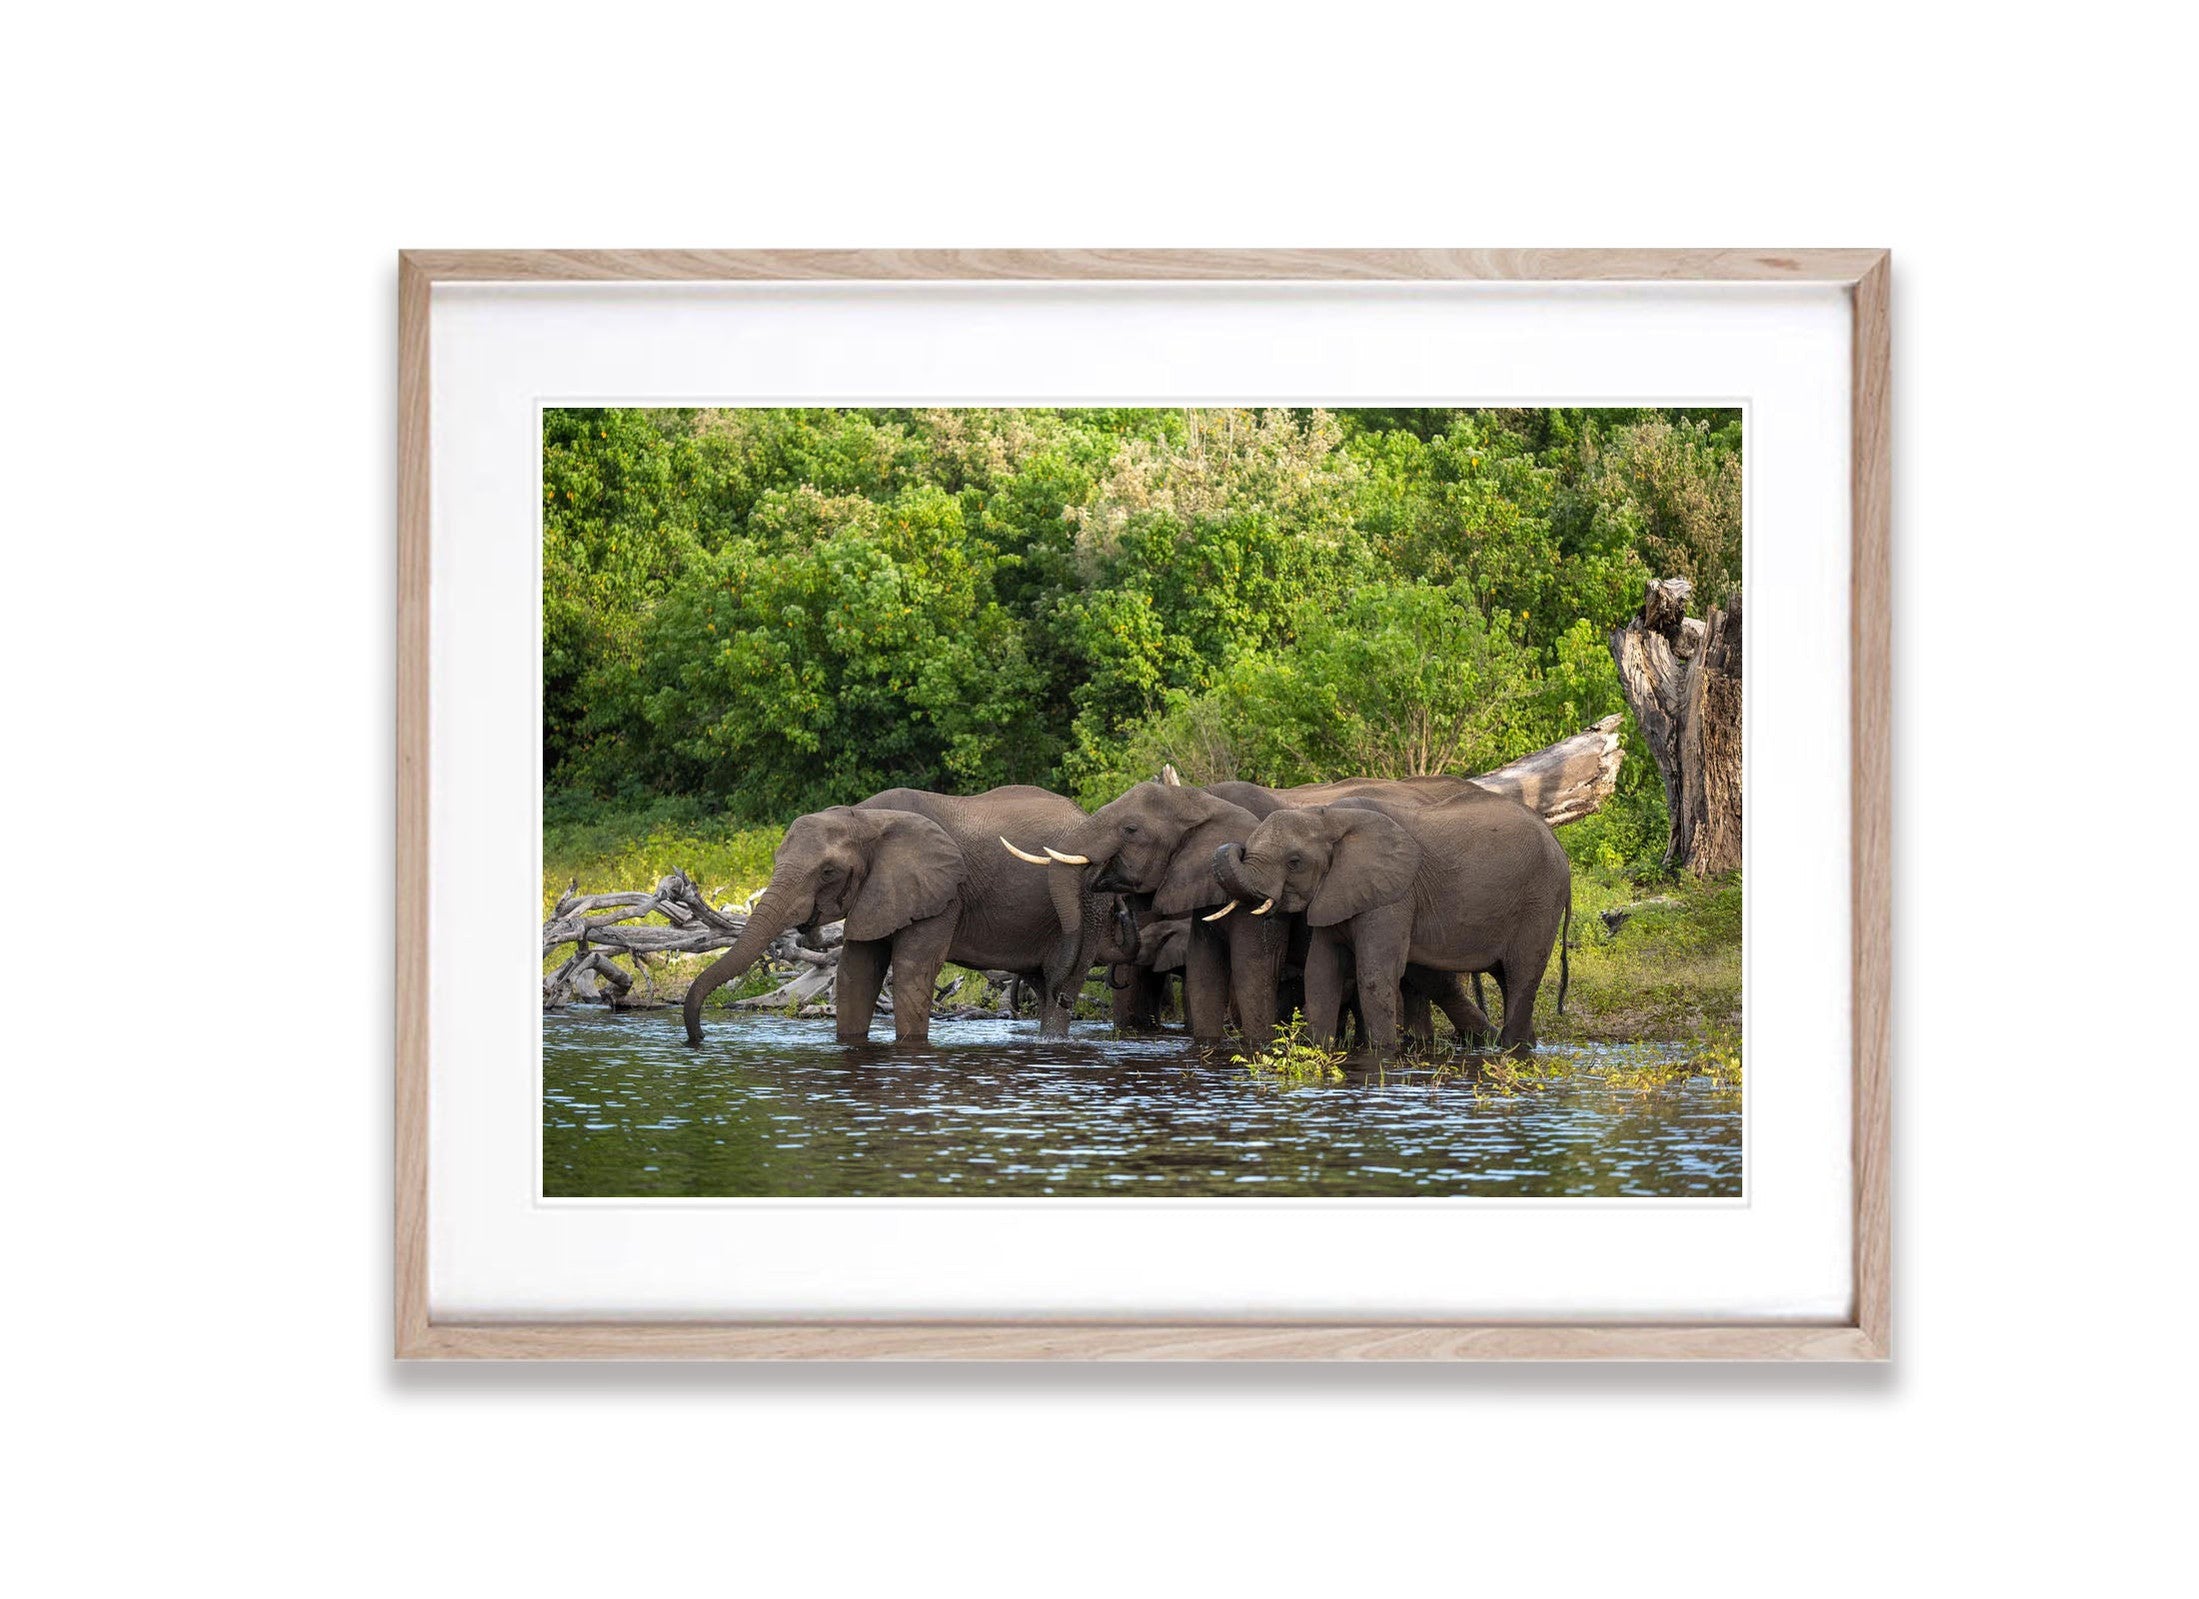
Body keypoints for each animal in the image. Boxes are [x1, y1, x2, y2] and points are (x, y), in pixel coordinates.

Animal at [686, 787, 1090, 1051]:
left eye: (828, 872)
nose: (700, 1037)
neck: (865, 819)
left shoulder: (943, 892)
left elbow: (912, 970)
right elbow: (856, 971)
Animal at [1213, 791, 1574, 1064]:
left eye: (1294, 862)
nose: (1234, 847)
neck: (1329, 816)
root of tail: (1558, 845)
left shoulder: (1394, 897)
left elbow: (1375, 974)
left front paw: (1381, 1055)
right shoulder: (1336, 891)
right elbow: (1320, 972)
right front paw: (1319, 1050)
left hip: (1541, 901)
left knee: (1523, 974)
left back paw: (1513, 1050)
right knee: (1507, 979)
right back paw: (1525, 1047)